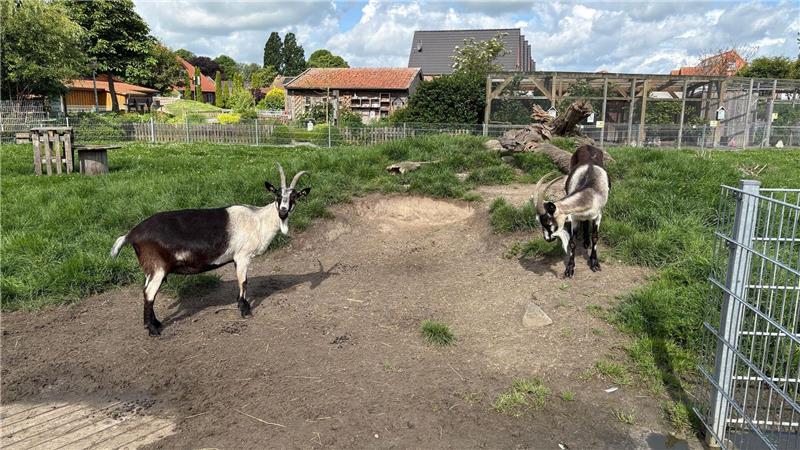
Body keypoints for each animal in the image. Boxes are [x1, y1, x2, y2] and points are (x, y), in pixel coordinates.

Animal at [110, 163, 310, 336]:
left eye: (294, 197)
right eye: (277, 195)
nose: (283, 211)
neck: (258, 220)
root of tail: (132, 234)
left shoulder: (237, 258)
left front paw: (240, 305)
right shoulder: (243, 256)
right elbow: (244, 281)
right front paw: (245, 310)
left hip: (150, 269)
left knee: (146, 289)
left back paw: (154, 323)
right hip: (157, 267)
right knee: (149, 293)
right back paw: (153, 330)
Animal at [531, 145, 609, 278]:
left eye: (549, 223)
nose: (547, 239)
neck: (590, 190)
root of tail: (587, 145)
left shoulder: (598, 215)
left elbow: (595, 237)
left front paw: (594, 263)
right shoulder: (574, 217)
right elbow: (572, 242)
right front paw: (569, 268)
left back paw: (587, 242)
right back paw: (585, 242)